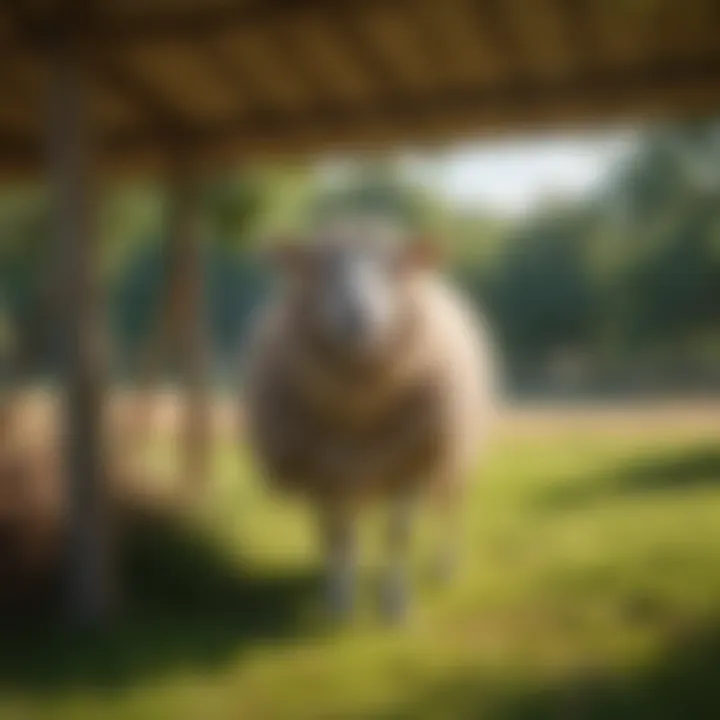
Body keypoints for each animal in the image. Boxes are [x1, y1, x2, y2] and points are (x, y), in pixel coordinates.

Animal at [239, 221, 498, 624]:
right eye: (319, 268)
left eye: (394, 268)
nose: (356, 316)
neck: (358, 409)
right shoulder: (324, 469)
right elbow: (337, 535)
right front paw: (338, 602)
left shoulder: (410, 462)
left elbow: (398, 535)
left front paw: (394, 604)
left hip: (455, 453)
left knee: (450, 510)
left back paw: (445, 566)